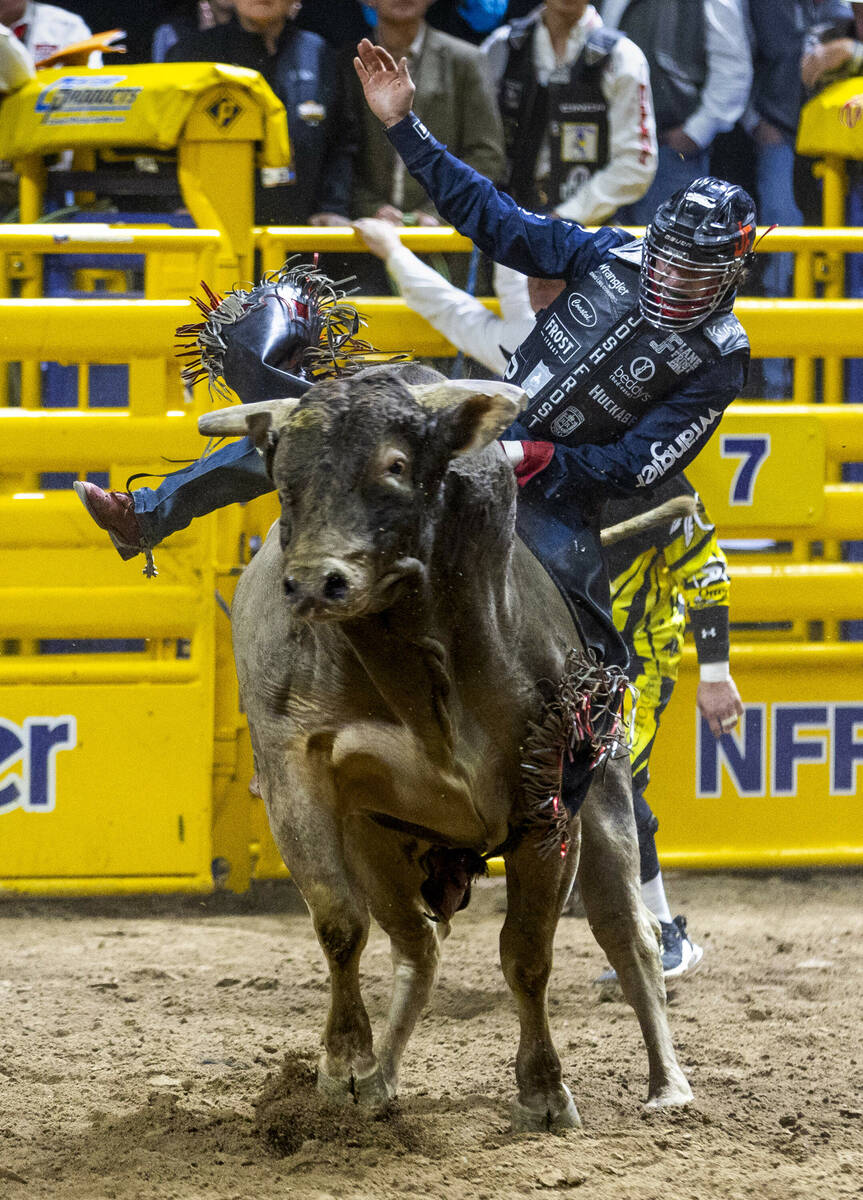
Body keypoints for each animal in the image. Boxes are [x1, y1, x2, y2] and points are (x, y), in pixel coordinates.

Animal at [199, 362, 691, 1123]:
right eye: (284, 475)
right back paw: (379, 1081)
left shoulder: (546, 807)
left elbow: (526, 953)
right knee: (417, 946)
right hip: (380, 846)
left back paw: (667, 1084)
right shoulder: (296, 774)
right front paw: (345, 1063)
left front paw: (543, 1090)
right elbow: (340, 923)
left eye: (395, 465)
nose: (314, 583)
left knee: (625, 934)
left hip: (606, 796)